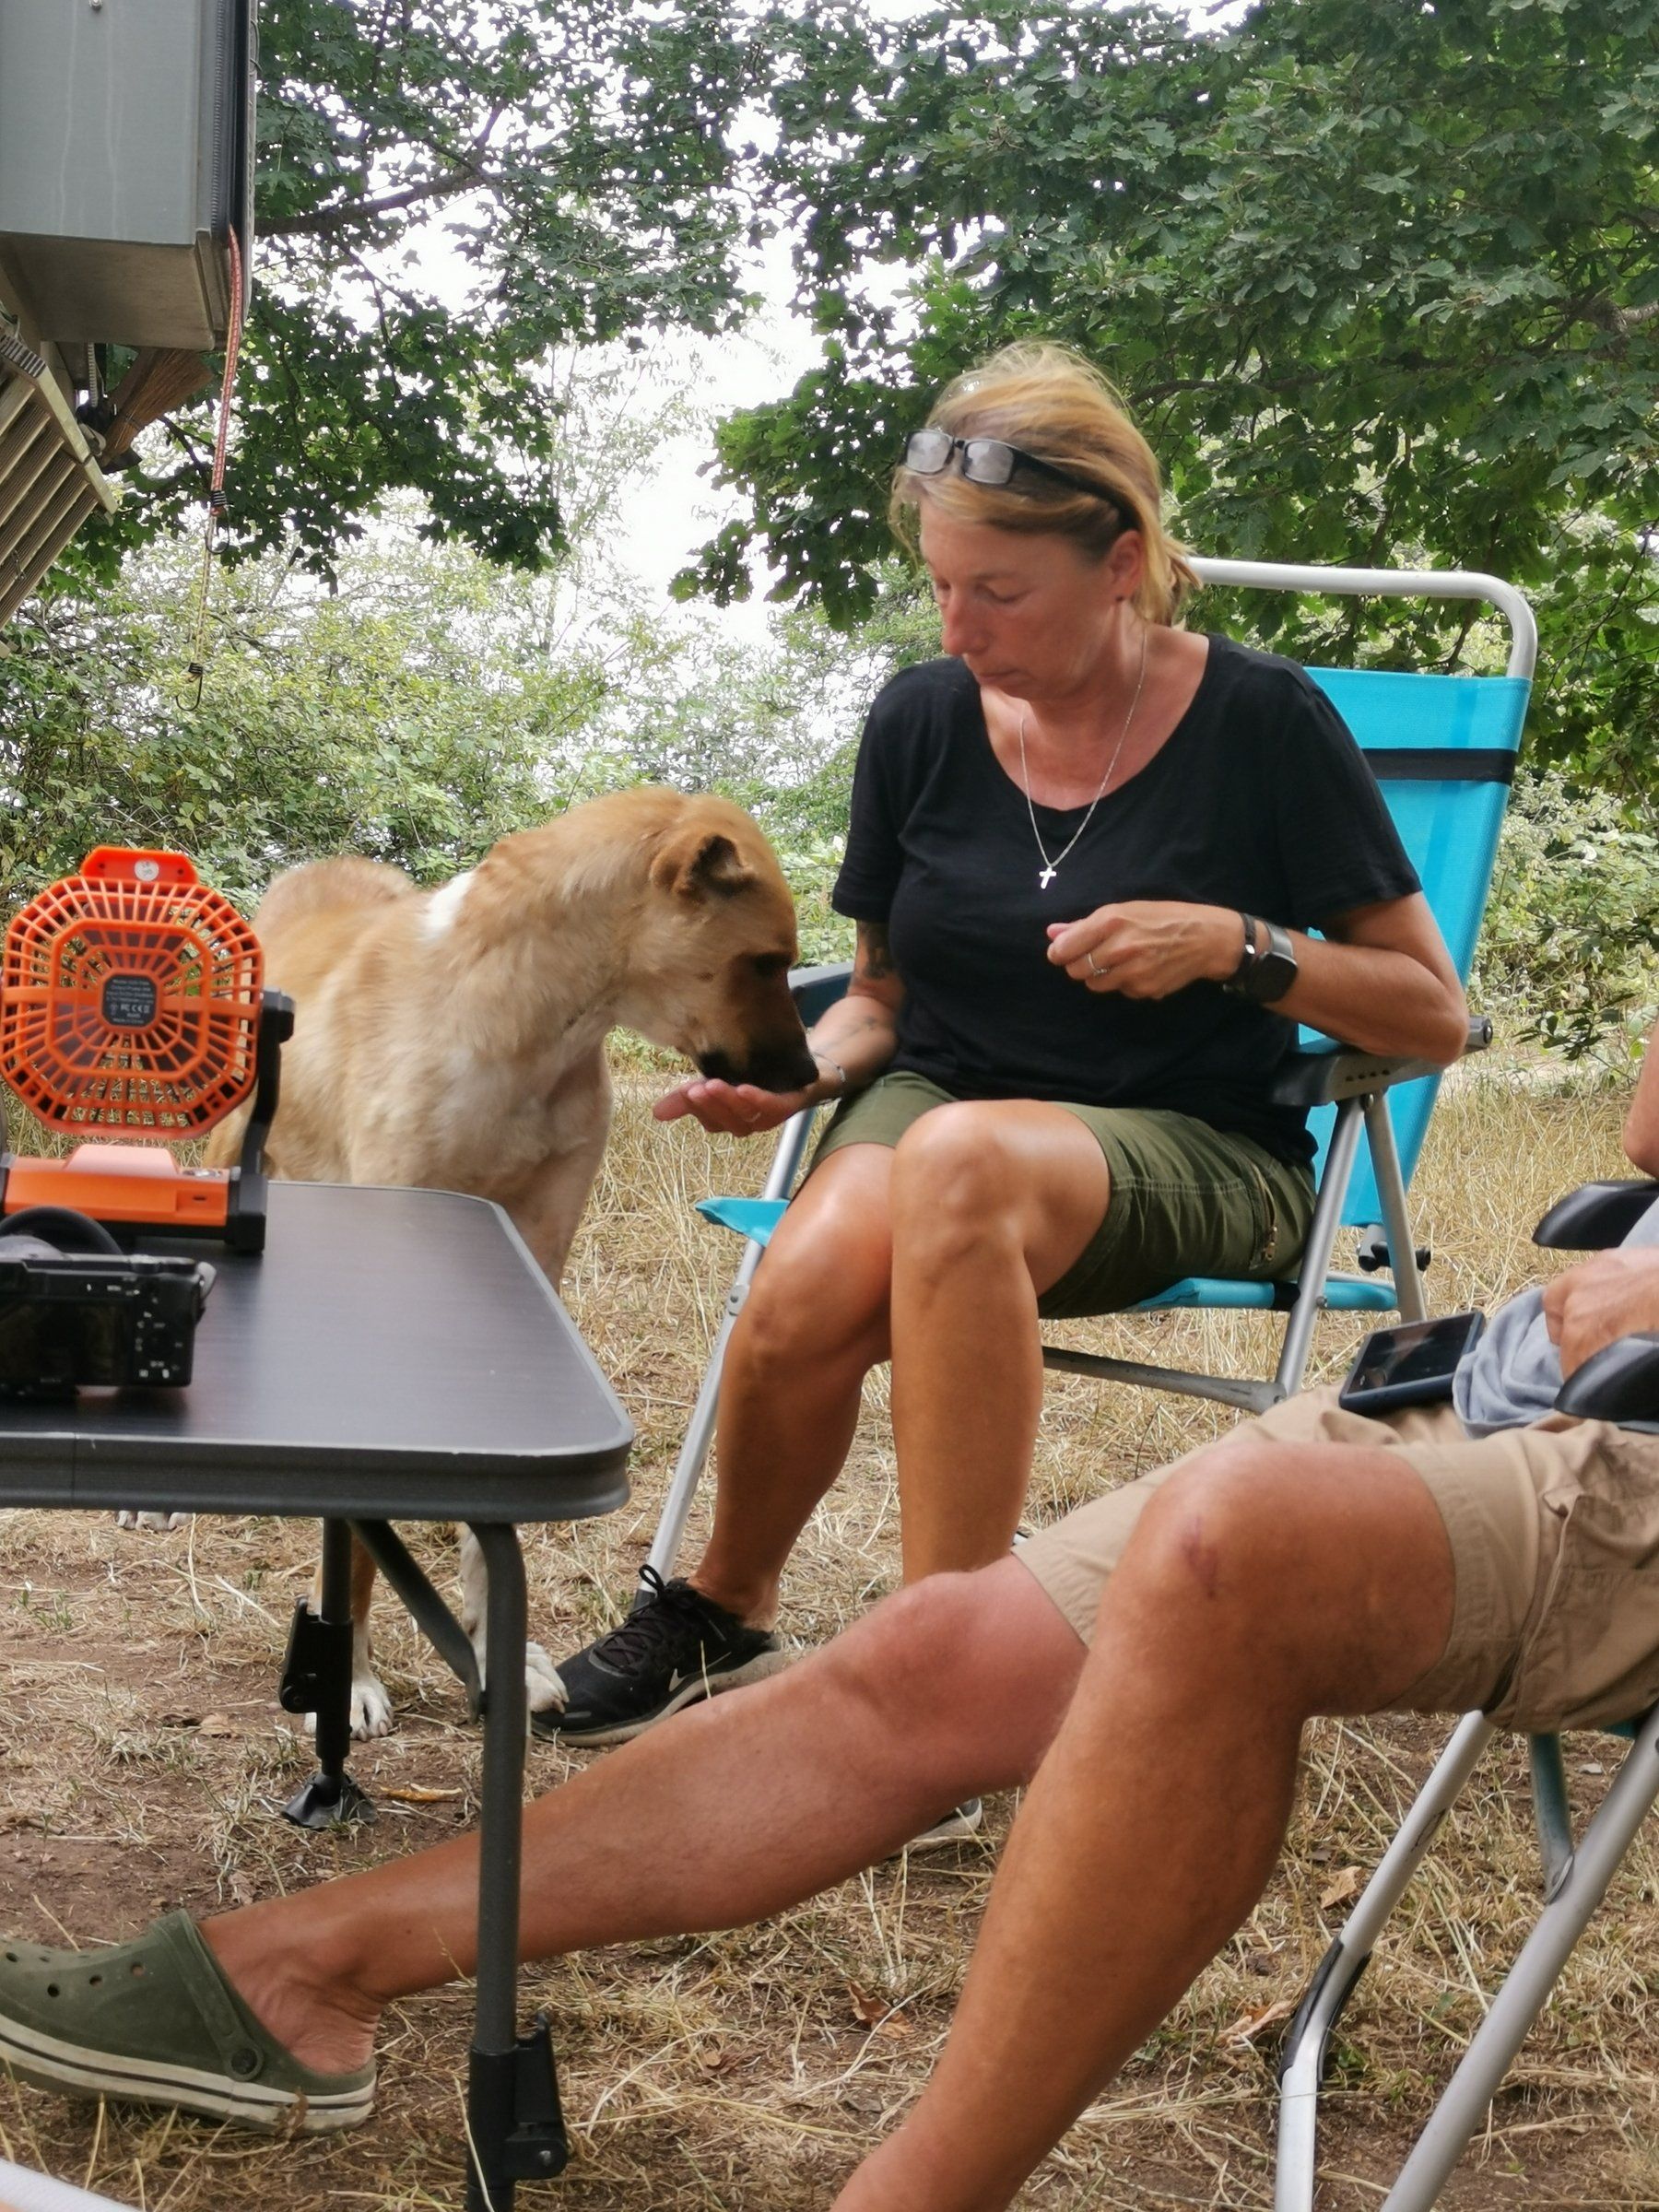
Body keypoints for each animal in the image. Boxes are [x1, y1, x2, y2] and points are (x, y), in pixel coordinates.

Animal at [182, 787, 817, 1736]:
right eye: (764, 961)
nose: (813, 1075)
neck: (520, 1028)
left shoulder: (532, 1261)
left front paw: (497, 1658)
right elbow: (358, 1530)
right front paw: (351, 1678)